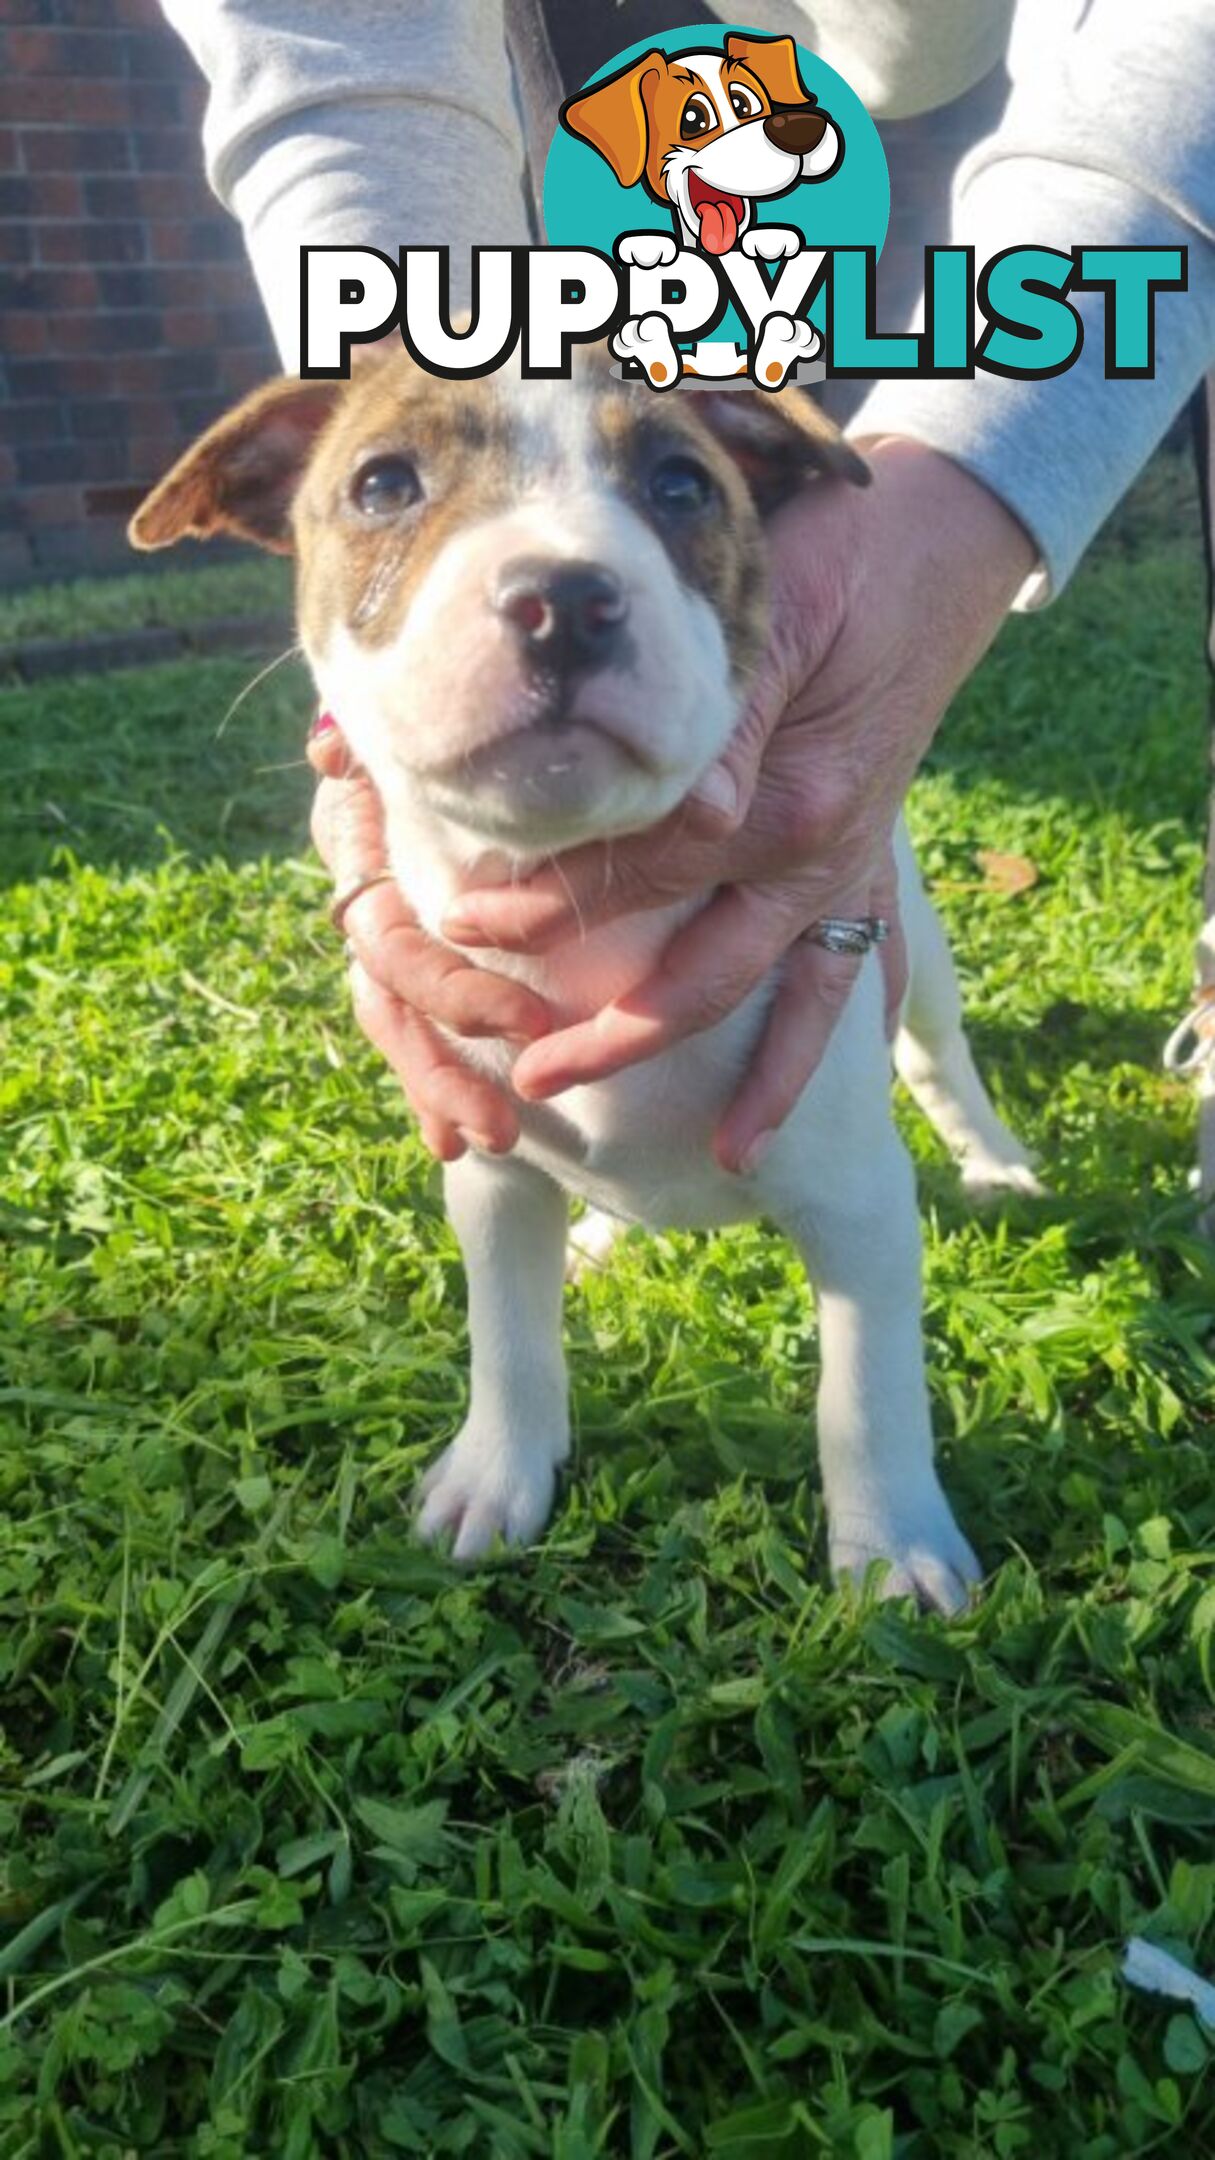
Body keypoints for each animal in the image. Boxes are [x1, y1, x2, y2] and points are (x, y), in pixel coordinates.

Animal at [134, 345, 1042, 1615]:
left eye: (680, 487)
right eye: (383, 483)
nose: (563, 597)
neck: (577, 917)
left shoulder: (857, 1204)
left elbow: (865, 1394)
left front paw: (897, 1553)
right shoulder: (490, 1168)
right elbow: (508, 1335)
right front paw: (496, 1474)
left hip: (909, 942)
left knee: (940, 1055)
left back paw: (995, 1162)